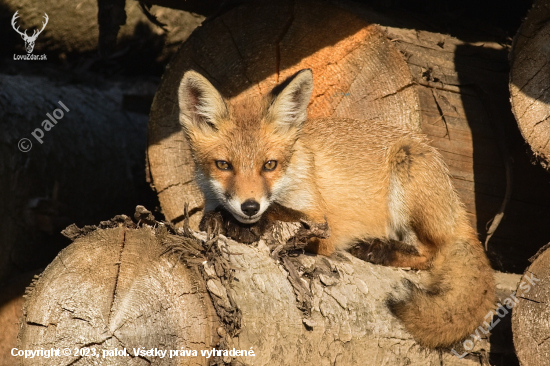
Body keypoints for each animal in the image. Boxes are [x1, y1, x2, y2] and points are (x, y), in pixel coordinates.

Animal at [179, 68, 498, 348]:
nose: (249, 206)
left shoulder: (321, 225)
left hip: (408, 168)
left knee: (431, 253)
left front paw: (249, 225)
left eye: (269, 165)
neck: (295, 169)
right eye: (223, 165)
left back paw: (378, 249)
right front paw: (220, 221)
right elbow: (214, 214)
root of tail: (458, 207)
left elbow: (281, 213)